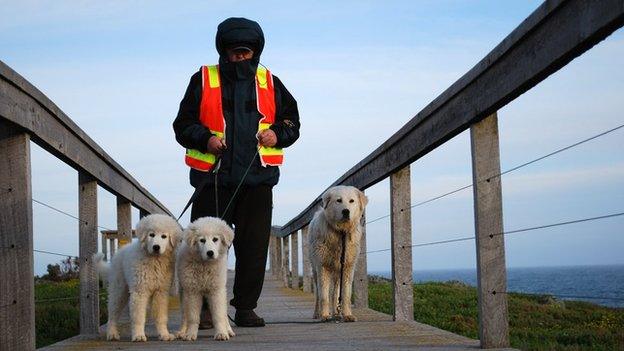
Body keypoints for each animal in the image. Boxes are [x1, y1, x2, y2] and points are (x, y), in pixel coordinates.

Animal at [92, 213, 182, 342]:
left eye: (164, 236)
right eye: (151, 234)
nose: (156, 247)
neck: (154, 261)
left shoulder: (161, 292)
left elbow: (161, 316)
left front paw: (164, 334)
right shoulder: (140, 291)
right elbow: (138, 316)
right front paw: (139, 335)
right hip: (119, 290)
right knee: (112, 314)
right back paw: (112, 333)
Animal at [310, 186, 368, 324]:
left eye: (352, 201)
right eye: (338, 200)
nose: (346, 211)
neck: (341, 232)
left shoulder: (347, 268)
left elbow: (345, 295)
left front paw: (347, 315)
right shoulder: (323, 267)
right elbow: (323, 295)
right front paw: (325, 315)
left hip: (337, 271)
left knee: (335, 293)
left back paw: (336, 312)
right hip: (315, 269)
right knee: (318, 294)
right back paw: (317, 313)